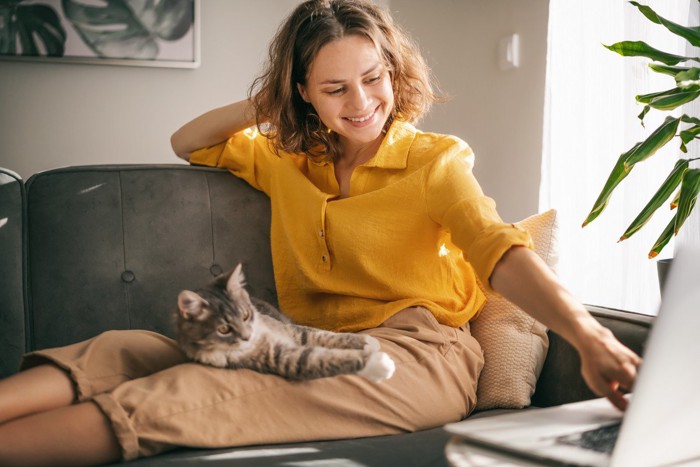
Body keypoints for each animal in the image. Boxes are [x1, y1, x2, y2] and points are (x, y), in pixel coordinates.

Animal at [175, 264, 394, 384]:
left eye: (245, 315)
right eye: (223, 329)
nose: (247, 336)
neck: (259, 337)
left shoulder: (292, 330)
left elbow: (322, 335)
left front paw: (367, 341)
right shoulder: (281, 358)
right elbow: (322, 358)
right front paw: (378, 364)